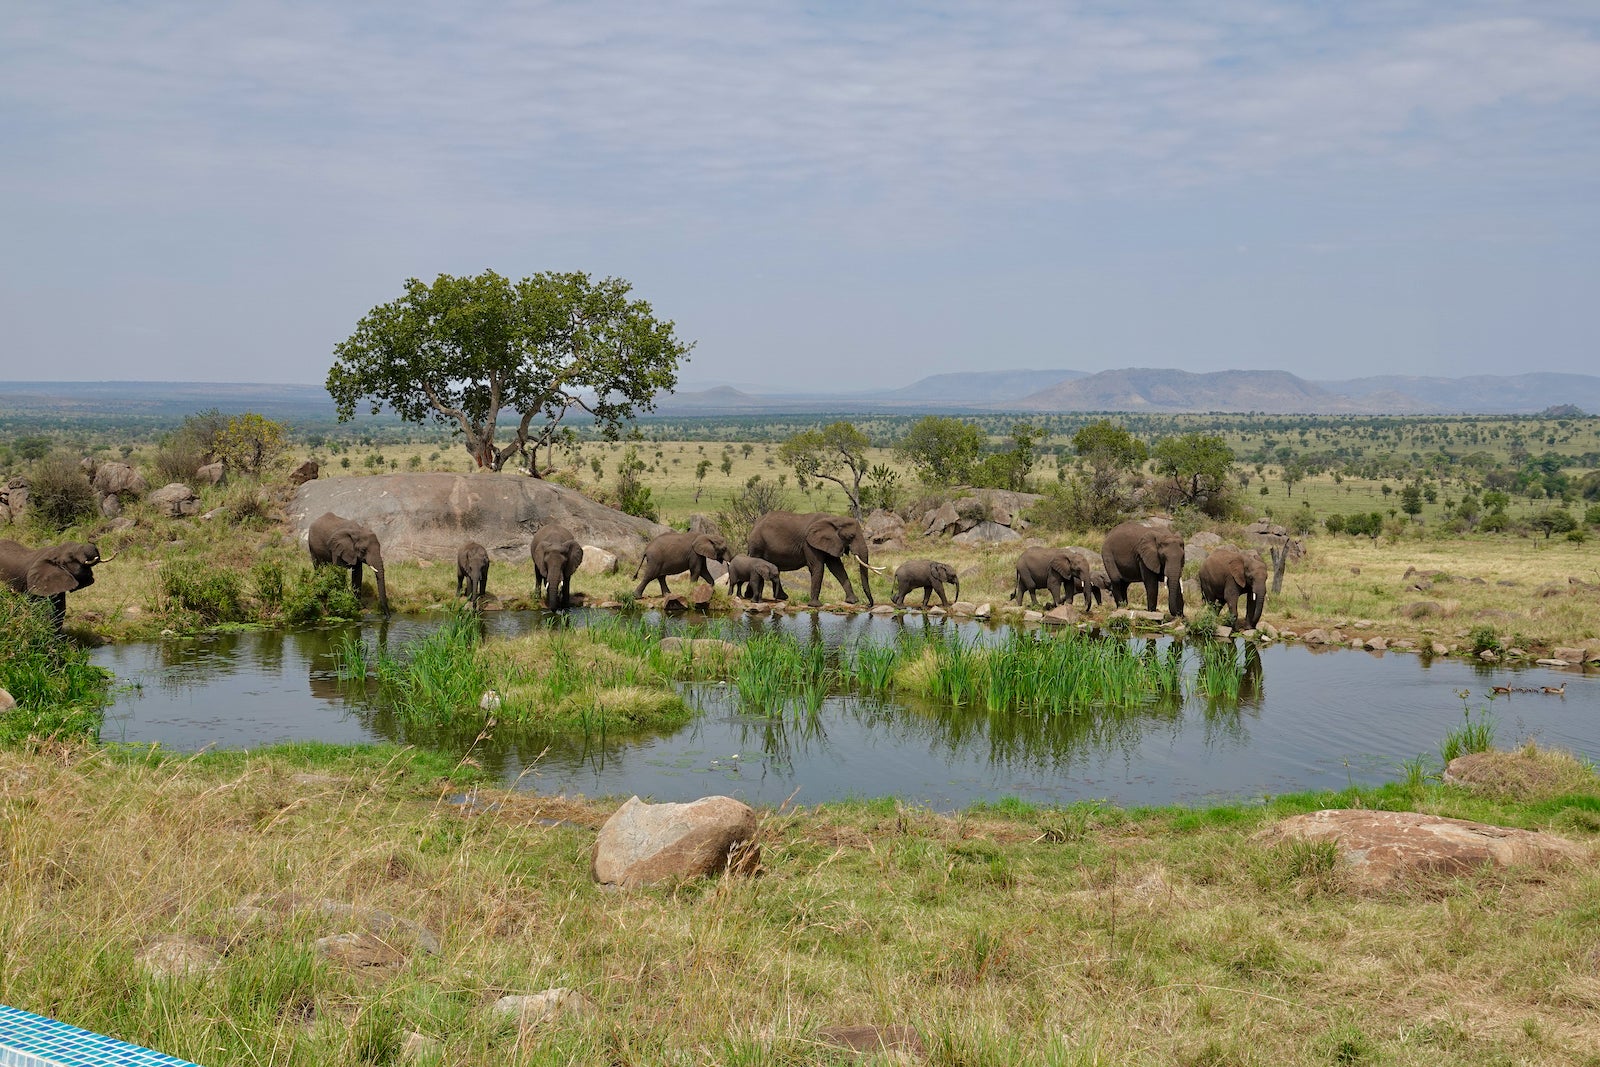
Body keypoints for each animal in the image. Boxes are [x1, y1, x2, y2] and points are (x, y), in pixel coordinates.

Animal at [745, 511, 876, 604]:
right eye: (851, 536)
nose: (869, 605)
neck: (834, 518)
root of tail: (754, 524)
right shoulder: (808, 543)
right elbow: (817, 567)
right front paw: (815, 605)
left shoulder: (831, 542)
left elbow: (837, 567)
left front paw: (853, 601)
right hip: (757, 545)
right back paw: (751, 597)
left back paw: (781, 597)